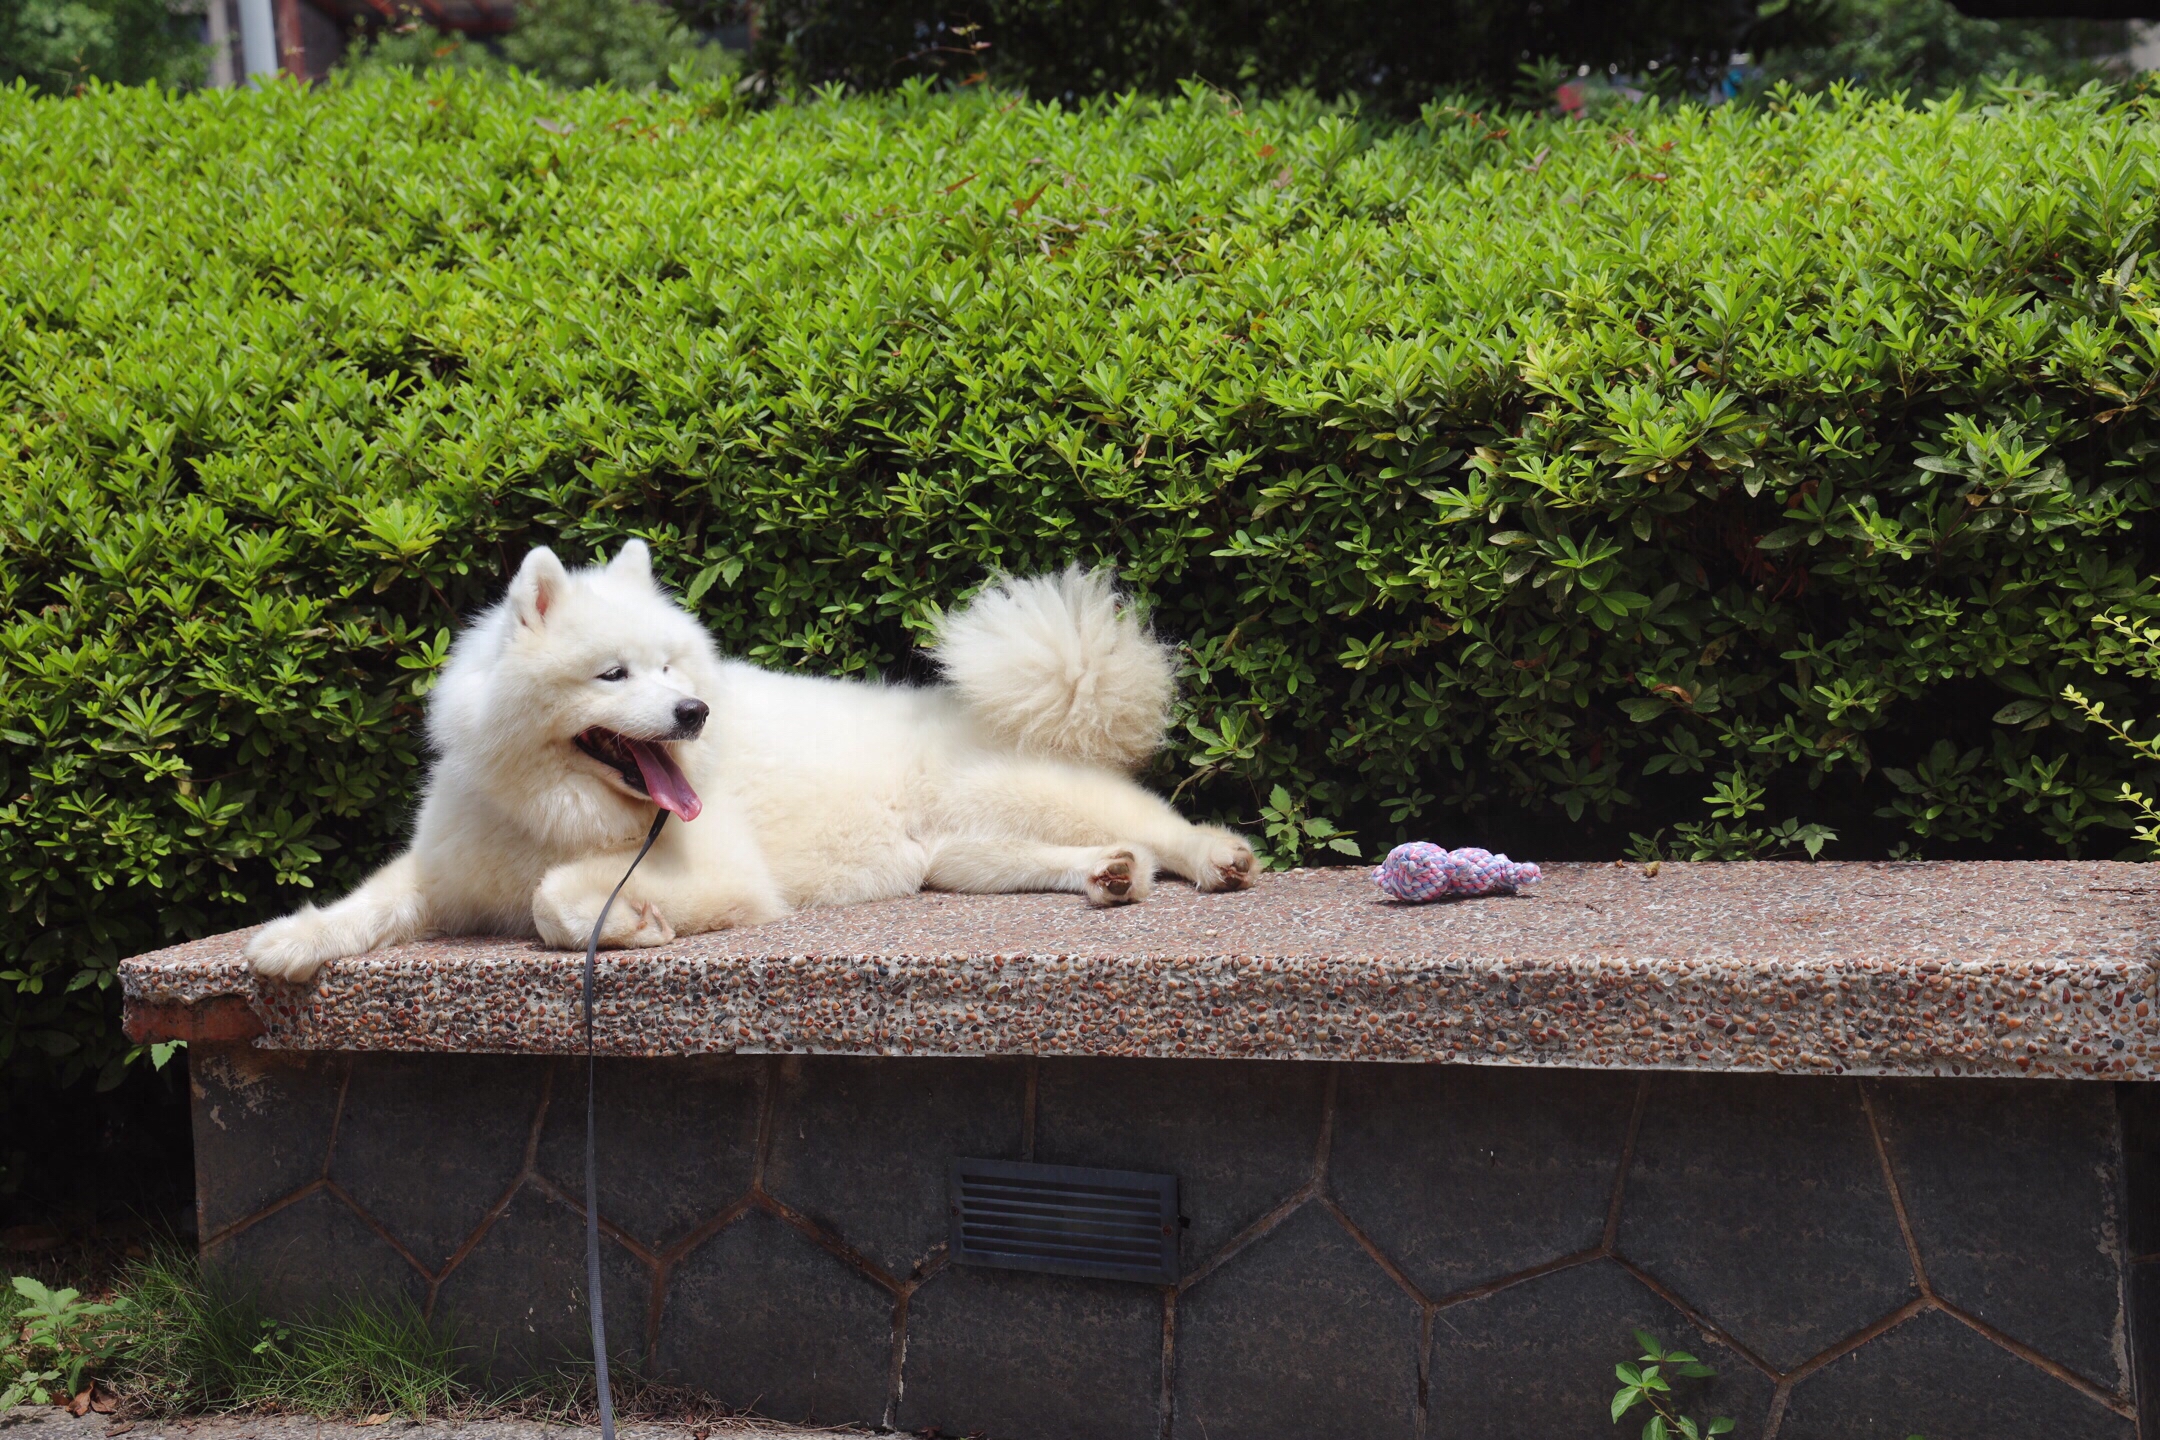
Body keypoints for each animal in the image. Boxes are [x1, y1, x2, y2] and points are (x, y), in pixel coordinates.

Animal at [248, 537, 1261, 980]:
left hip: (1028, 798)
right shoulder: (442, 872)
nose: (693, 711)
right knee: (1090, 856)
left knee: (1163, 822)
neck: (552, 805)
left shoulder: (725, 876)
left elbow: (557, 899)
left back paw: (1214, 858)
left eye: (673, 667)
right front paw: (288, 941)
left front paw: (629, 924)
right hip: (963, 856)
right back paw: (1107, 878)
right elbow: (368, 903)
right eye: (615, 674)